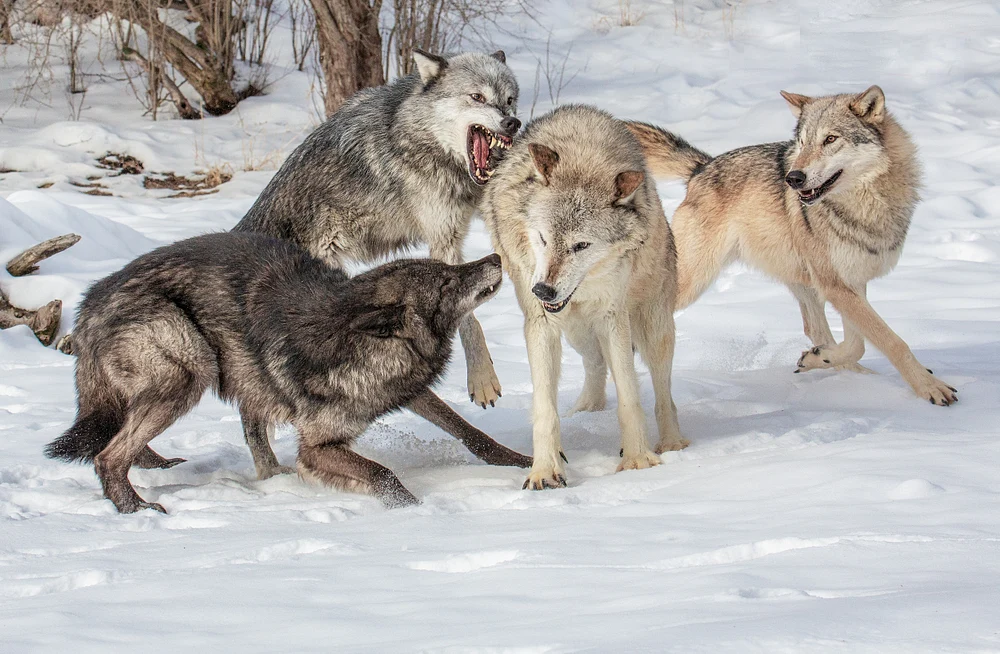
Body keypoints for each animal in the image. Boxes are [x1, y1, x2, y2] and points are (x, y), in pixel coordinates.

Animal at [44, 232, 531, 513]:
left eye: (448, 268)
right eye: (447, 282)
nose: (494, 257)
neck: (351, 337)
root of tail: (88, 304)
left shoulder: (408, 390)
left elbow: (470, 432)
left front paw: (520, 462)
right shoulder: (316, 448)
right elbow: (383, 474)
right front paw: (415, 511)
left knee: (120, 438)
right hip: (190, 370)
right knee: (109, 455)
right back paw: (135, 508)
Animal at [233, 48, 521, 413]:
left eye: (509, 100)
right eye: (477, 97)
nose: (513, 123)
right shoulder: (444, 240)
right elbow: (471, 318)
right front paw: (482, 381)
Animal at [481, 105, 690, 490]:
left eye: (581, 245)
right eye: (543, 238)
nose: (542, 290)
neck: (584, 158)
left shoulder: (613, 318)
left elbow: (630, 396)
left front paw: (637, 461)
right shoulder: (542, 322)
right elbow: (545, 408)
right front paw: (545, 471)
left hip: (653, 327)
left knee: (662, 391)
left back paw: (671, 443)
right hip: (576, 332)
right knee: (596, 364)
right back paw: (585, 411)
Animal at [626, 85, 957, 405]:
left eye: (830, 139)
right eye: (801, 142)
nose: (793, 178)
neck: (866, 206)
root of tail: (701, 168)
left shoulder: (850, 281)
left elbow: (858, 342)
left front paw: (819, 359)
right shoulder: (837, 285)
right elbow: (891, 340)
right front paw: (930, 388)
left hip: (803, 282)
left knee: (815, 328)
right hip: (691, 281)